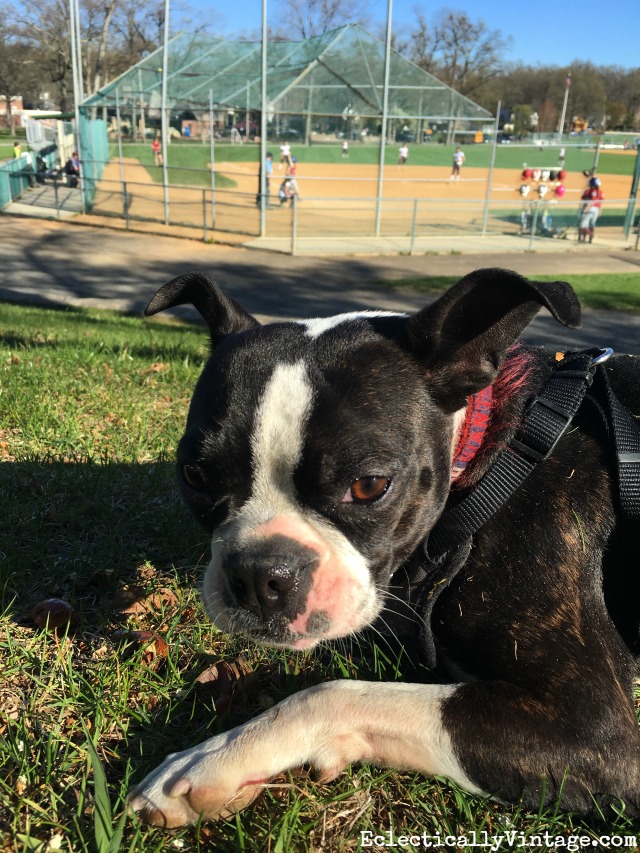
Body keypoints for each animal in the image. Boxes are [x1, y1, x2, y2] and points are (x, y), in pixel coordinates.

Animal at [129, 268, 640, 824]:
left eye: (369, 485)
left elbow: (331, 693)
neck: (490, 452)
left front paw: (214, 758)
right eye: (195, 475)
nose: (259, 573)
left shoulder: (596, 733)